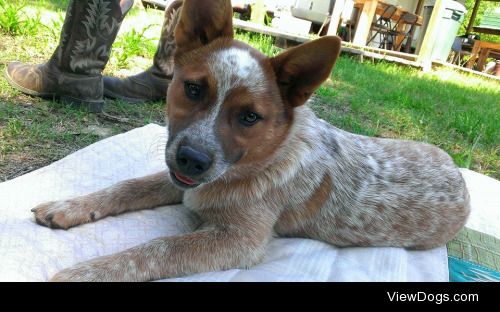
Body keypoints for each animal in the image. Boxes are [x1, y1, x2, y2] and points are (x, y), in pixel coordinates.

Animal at [31, 0, 468, 282]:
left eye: (249, 117)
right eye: (193, 89)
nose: (192, 160)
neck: (263, 158)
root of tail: (458, 172)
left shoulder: (240, 241)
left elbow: (157, 249)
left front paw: (85, 273)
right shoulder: (184, 180)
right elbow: (128, 186)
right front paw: (69, 206)